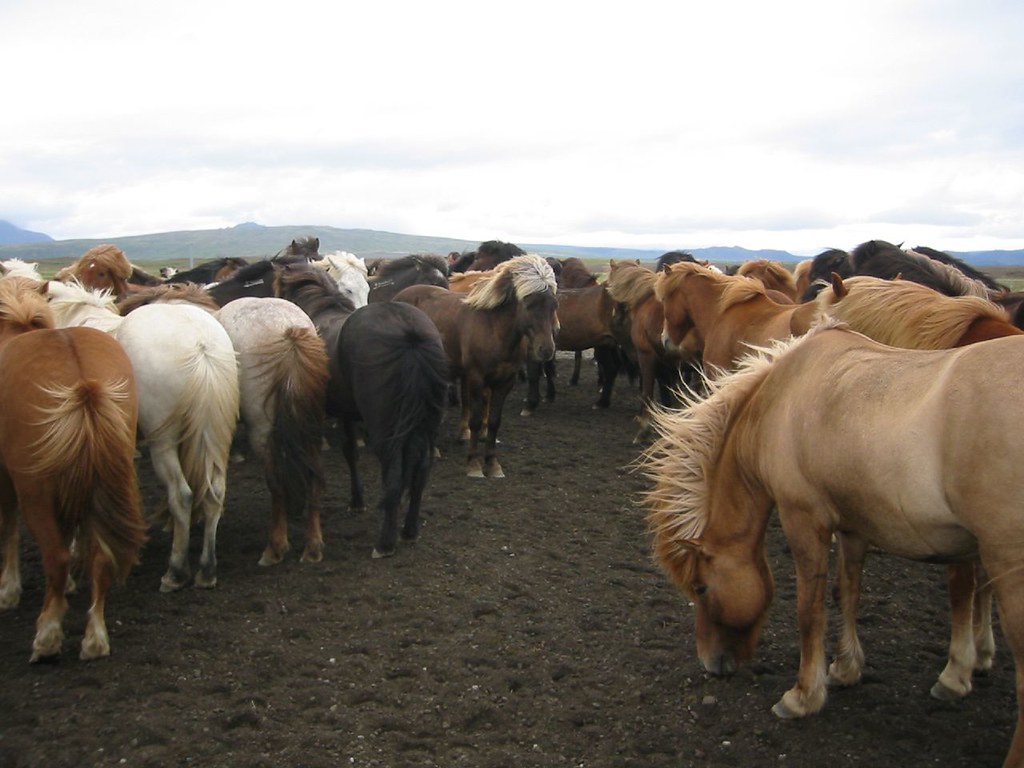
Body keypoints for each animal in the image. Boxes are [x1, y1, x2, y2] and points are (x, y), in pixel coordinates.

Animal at [0, 280, 146, 661]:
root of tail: (83, 381)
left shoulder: (5, 479)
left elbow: (8, 530)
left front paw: (8, 589)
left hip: (35, 489)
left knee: (56, 555)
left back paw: (48, 636)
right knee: (100, 557)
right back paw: (95, 638)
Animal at [47, 280, 240, 592]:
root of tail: (201, 345)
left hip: (163, 443)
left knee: (182, 494)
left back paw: (175, 572)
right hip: (211, 434)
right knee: (214, 492)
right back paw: (207, 569)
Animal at [215, 298, 330, 565]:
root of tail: (289, 330)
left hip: (263, 432)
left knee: (276, 484)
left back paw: (275, 547)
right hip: (310, 429)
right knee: (314, 477)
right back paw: (313, 546)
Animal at [394, 254, 558, 478]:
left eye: (554, 304)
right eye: (528, 303)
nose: (546, 349)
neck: (494, 330)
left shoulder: (505, 382)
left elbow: (494, 422)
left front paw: (493, 464)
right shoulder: (475, 378)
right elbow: (476, 420)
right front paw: (474, 464)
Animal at [641, 323, 1024, 768]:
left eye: (701, 588)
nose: (711, 663)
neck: (781, 400)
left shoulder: (803, 519)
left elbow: (810, 609)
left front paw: (804, 695)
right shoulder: (854, 529)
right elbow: (847, 592)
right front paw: (846, 668)